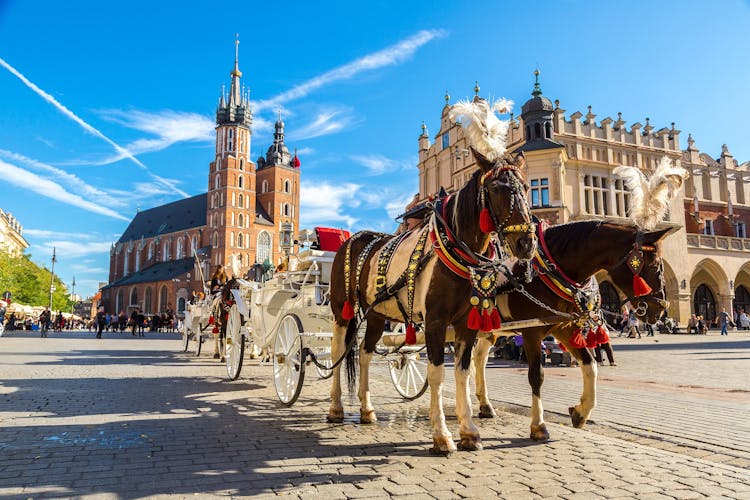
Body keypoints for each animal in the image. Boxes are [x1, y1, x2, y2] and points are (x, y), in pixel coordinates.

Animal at [332, 148, 536, 454]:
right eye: (496, 188)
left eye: (526, 187)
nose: (526, 243)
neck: (456, 250)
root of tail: (353, 238)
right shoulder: (436, 322)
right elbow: (438, 373)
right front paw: (441, 435)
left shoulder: (466, 324)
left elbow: (462, 372)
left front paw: (469, 431)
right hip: (341, 310)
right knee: (337, 351)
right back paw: (335, 407)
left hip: (377, 314)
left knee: (365, 353)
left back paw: (367, 409)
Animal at [472, 221, 672, 440]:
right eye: (655, 266)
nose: (660, 309)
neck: (549, 271)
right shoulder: (532, 332)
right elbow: (536, 376)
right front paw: (538, 425)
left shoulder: (563, 327)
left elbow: (590, 365)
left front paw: (581, 412)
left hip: (489, 330)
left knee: (478, 359)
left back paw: (484, 405)